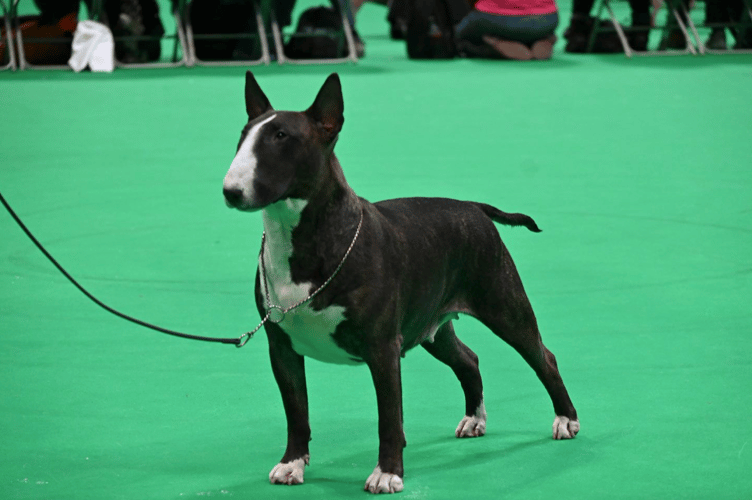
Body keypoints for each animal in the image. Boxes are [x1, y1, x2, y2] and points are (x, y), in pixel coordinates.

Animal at [220, 72, 580, 494]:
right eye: (243, 135)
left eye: (281, 136)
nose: (231, 191)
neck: (300, 240)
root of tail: (474, 207)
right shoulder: (282, 348)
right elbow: (297, 411)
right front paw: (292, 464)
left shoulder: (382, 348)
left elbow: (389, 417)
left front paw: (387, 474)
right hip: (431, 325)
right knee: (468, 359)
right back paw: (475, 419)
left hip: (503, 304)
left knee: (543, 357)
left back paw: (566, 420)